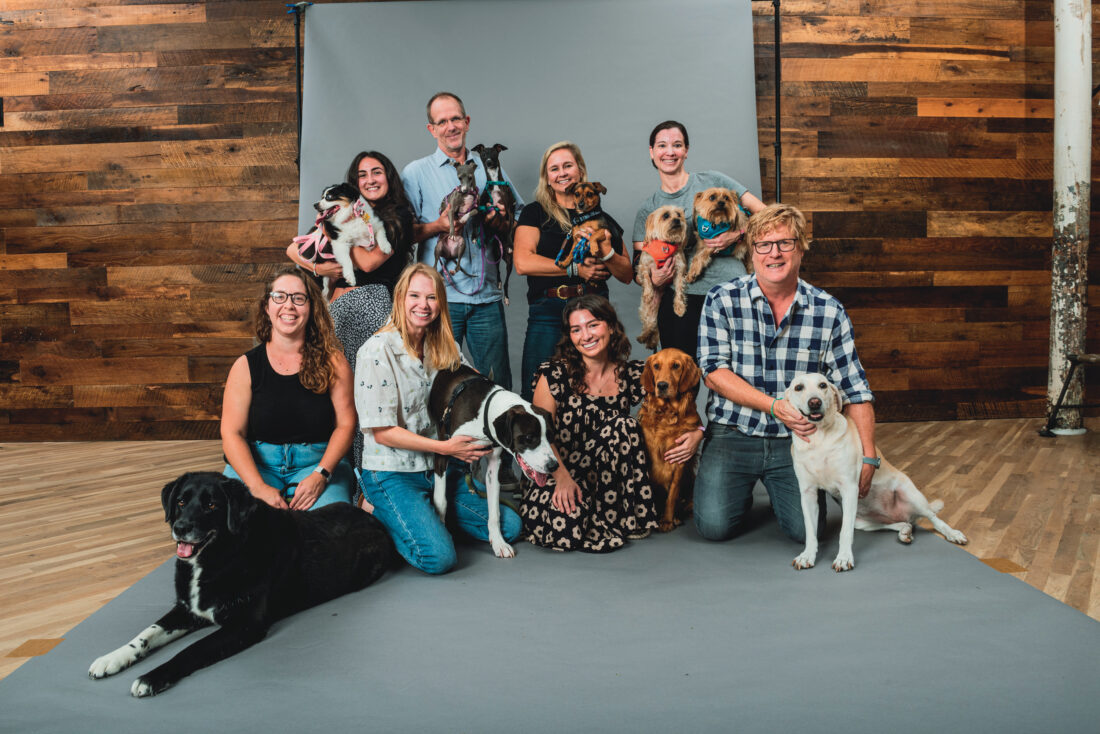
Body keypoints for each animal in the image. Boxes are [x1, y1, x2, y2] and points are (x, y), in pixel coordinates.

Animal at [88, 473, 396, 699]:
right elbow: (146, 634)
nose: (180, 528)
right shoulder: (187, 610)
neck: (221, 557)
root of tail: (373, 518)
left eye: (212, 505)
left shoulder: (244, 625)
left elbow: (191, 650)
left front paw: (152, 677)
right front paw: (112, 658)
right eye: (181, 502)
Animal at [424, 365, 554, 559]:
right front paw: (444, 529)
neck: (485, 413)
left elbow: (494, 511)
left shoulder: (494, 466)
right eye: (529, 437)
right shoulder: (442, 453)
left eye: (550, 435)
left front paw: (499, 543)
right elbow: (441, 500)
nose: (553, 465)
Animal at [638, 202, 686, 349]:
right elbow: (647, 278)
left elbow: (679, 291)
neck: (665, 244)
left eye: (679, 214)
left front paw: (679, 307)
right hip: (647, 312)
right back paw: (643, 337)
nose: (677, 220)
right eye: (666, 215)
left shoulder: (679, 269)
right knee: (648, 326)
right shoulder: (643, 265)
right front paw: (648, 294)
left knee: (653, 330)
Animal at [638, 347, 704, 530]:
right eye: (656, 366)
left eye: (676, 366)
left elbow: (673, 494)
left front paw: (667, 520)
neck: (667, 413)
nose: (661, 385)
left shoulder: (680, 459)